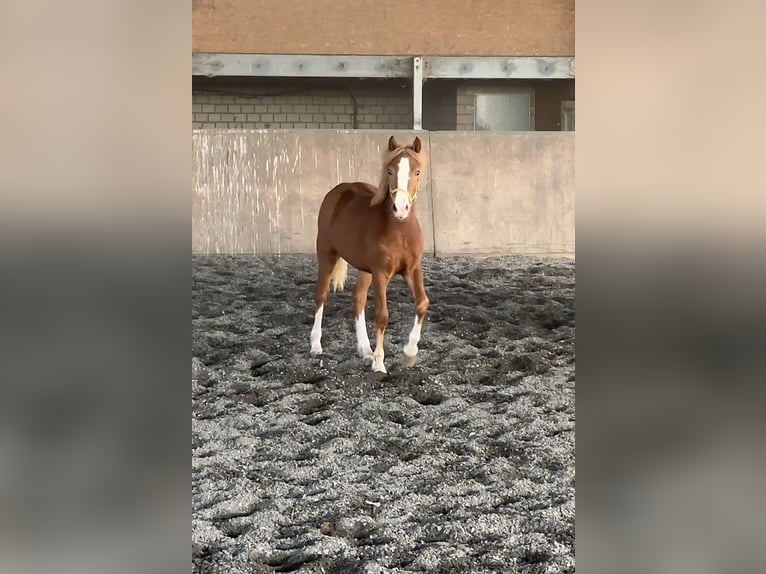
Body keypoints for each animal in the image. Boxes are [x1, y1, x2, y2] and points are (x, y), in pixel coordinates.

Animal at [312, 135, 432, 374]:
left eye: (417, 171)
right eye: (390, 171)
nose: (400, 208)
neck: (399, 231)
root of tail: (338, 191)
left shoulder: (412, 269)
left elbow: (422, 303)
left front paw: (409, 353)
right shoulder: (381, 273)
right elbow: (382, 315)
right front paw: (379, 362)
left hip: (363, 269)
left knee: (358, 298)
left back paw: (364, 349)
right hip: (327, 253)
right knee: (321, 295)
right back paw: (315, 345)